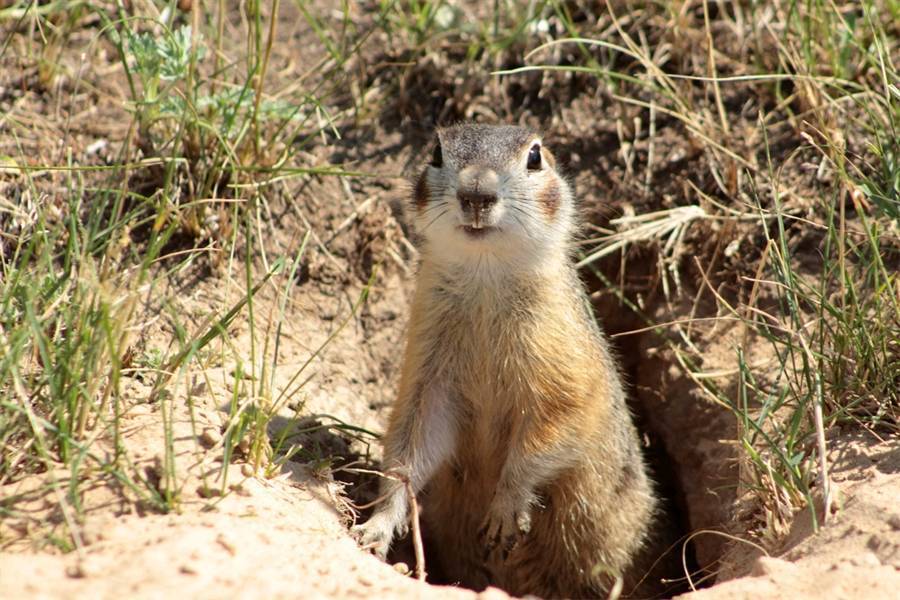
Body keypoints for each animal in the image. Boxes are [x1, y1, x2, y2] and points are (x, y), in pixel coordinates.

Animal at [356, 124, 664, 596]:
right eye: (436, 152)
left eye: (535, 156)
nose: (476, 192)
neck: (486, 276)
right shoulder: (429, 373)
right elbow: (413, 445)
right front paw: (376, 526)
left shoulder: (565, 372)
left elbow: (550, 434)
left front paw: (504, 511)